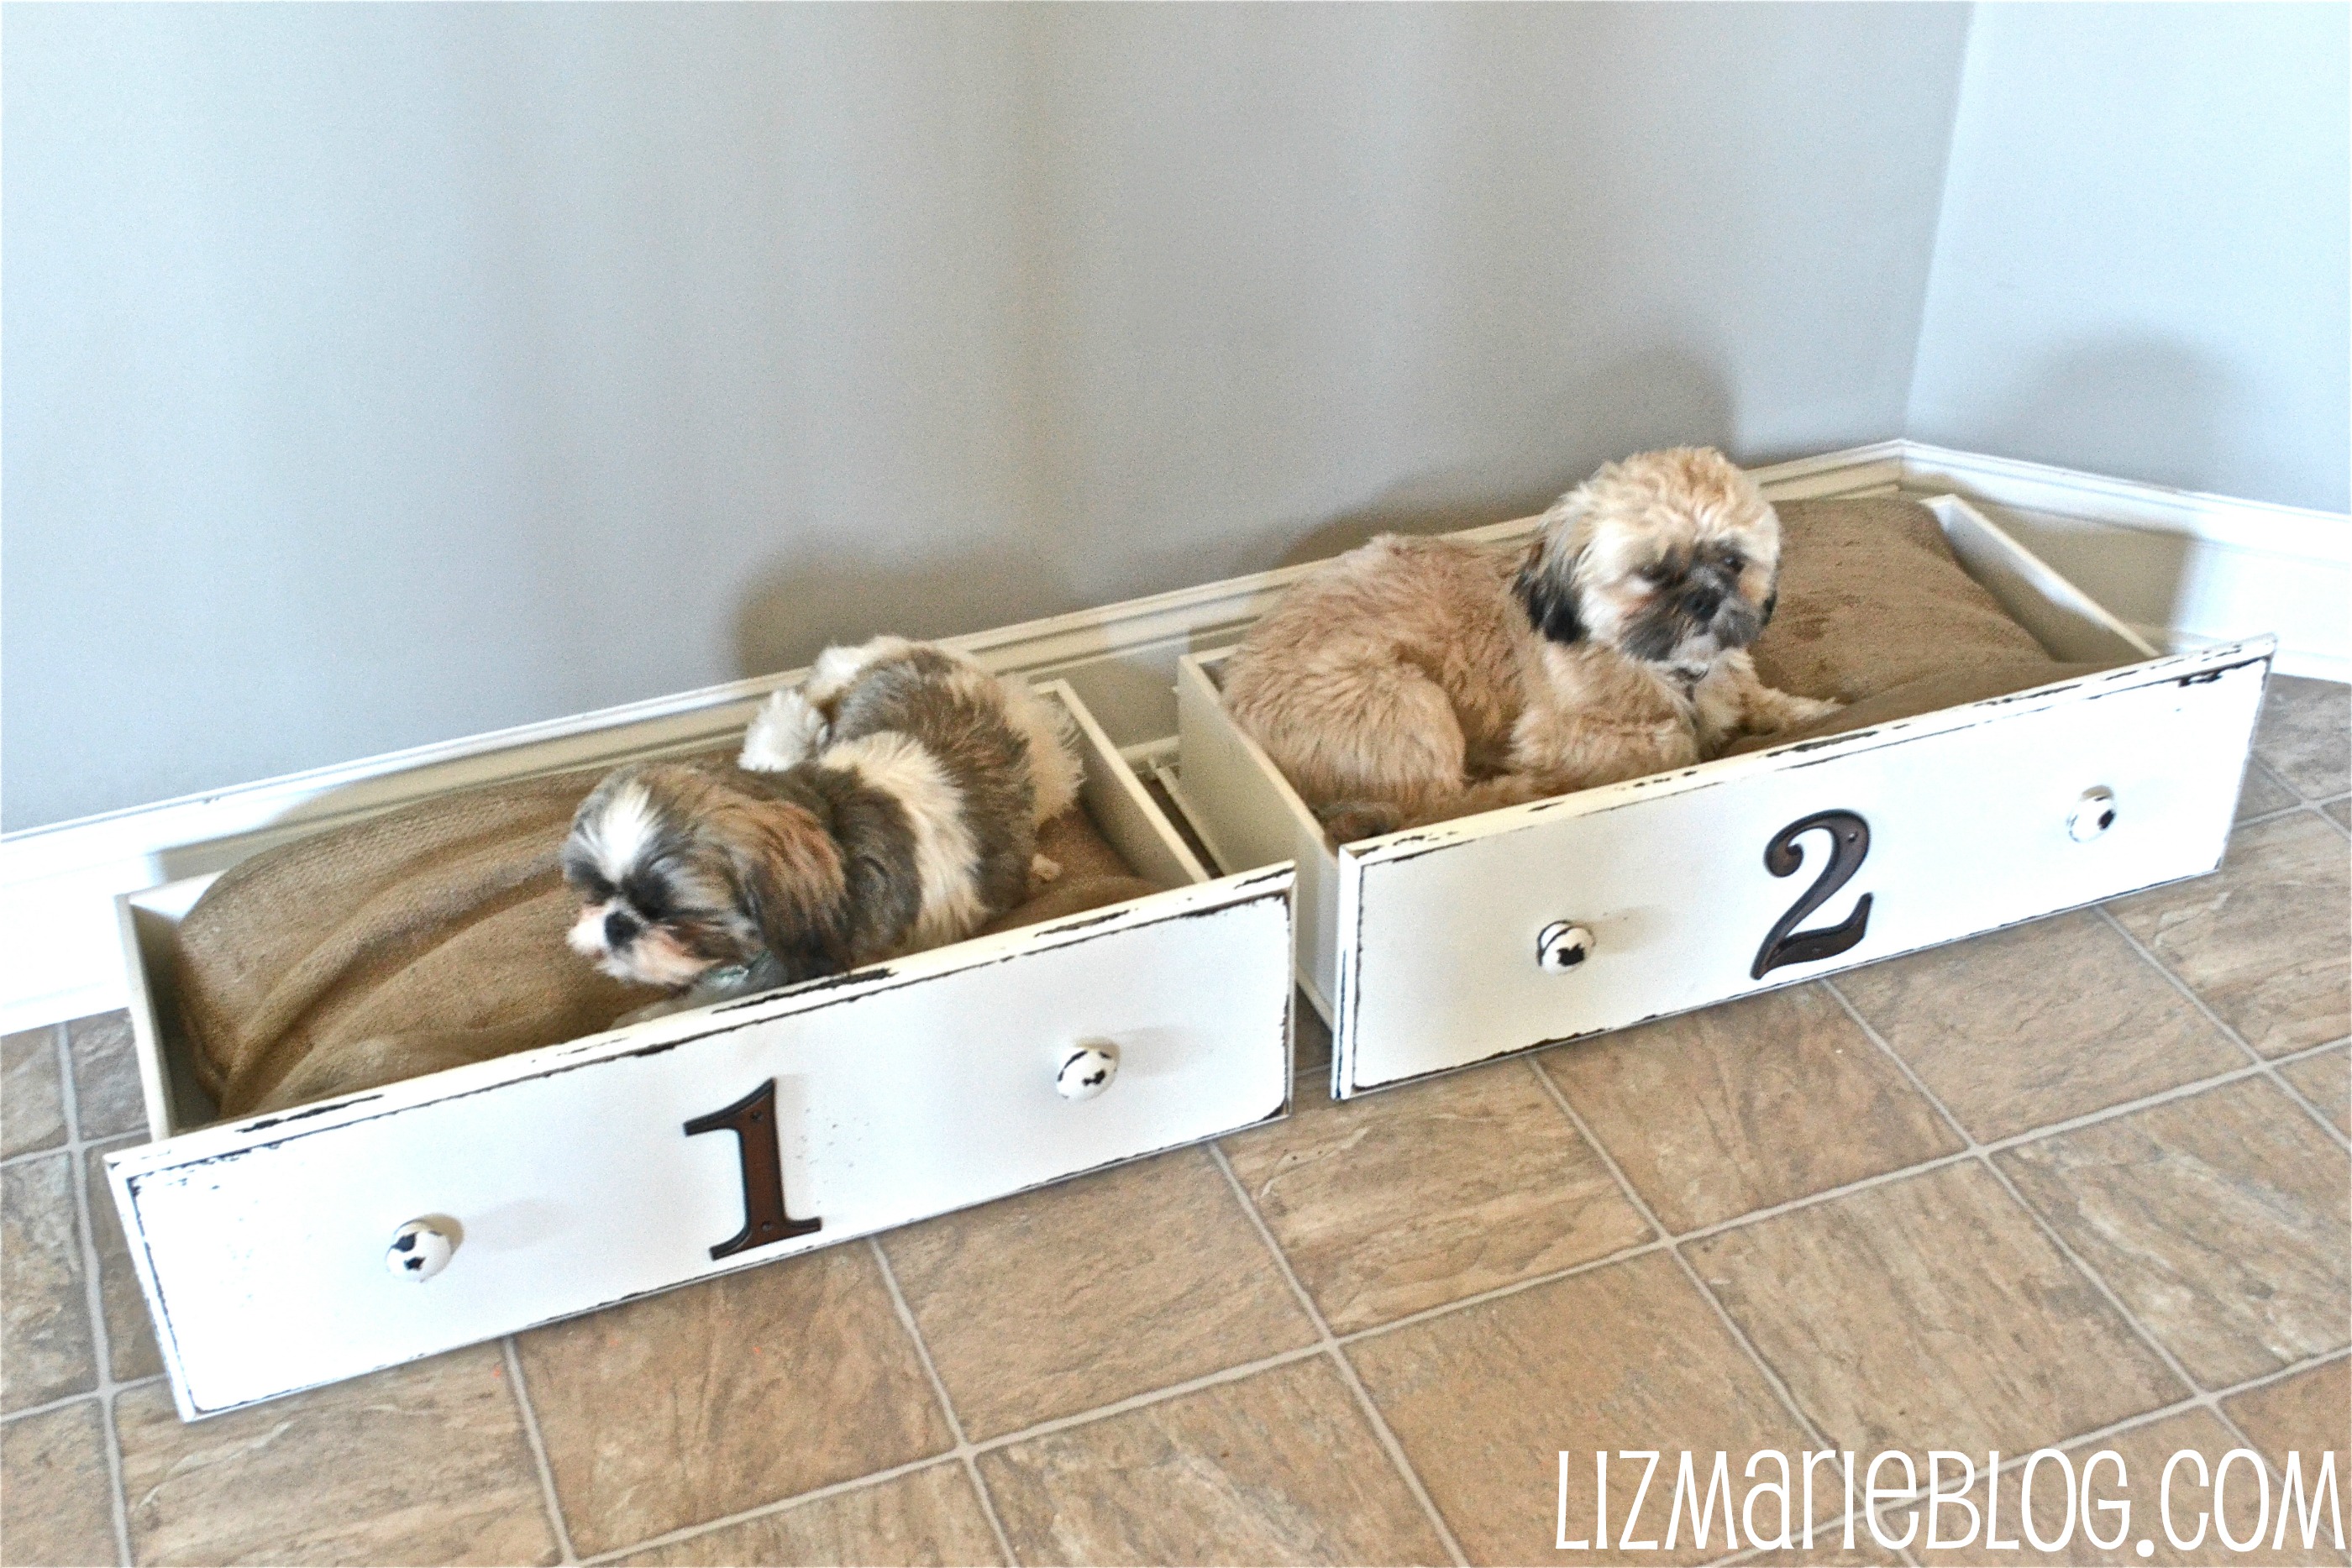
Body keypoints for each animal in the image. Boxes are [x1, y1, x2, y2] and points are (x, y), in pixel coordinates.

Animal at [569, 634, 1082, 1020]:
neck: (836, 841)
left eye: (665, 909)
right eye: (597, 889)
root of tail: (918, 648)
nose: (616, 924)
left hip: (1048, 764)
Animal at [1223, 446, 1844, 842]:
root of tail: (1232, 693)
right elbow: (1673, 740)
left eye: (1734, 562)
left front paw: (1811, 711)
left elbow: (1758, 699)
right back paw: (1514, 792)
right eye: (1652, 571)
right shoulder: (1558, 735)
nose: (1707, 599)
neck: (1661, 666)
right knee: (1435, 807)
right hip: (1404, 701)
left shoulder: (1729, 681)